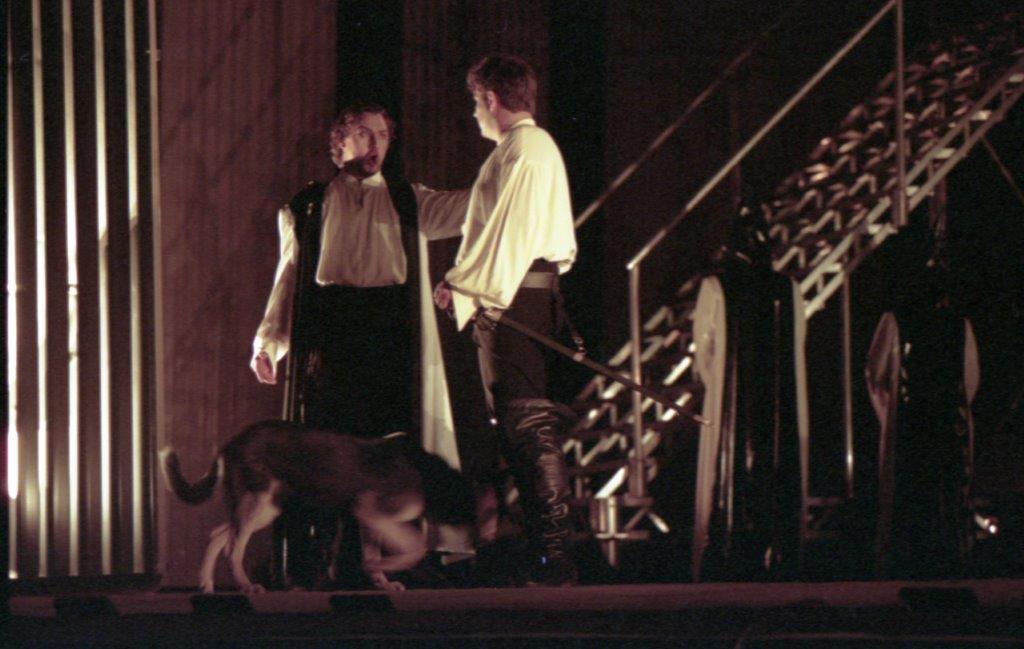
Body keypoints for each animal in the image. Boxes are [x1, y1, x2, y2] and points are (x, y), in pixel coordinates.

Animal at [159, 419, 476, 593]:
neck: (429, 471)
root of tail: (231, 443)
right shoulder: (371, 510)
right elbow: (416, 546)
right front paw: (376, 567)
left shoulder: (370, 520)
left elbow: (379, 552)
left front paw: (381, 581)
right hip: (262, 504)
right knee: (233, 548)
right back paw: (246, 585)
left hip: (261, 505)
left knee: (219, 534)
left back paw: (207, 584)